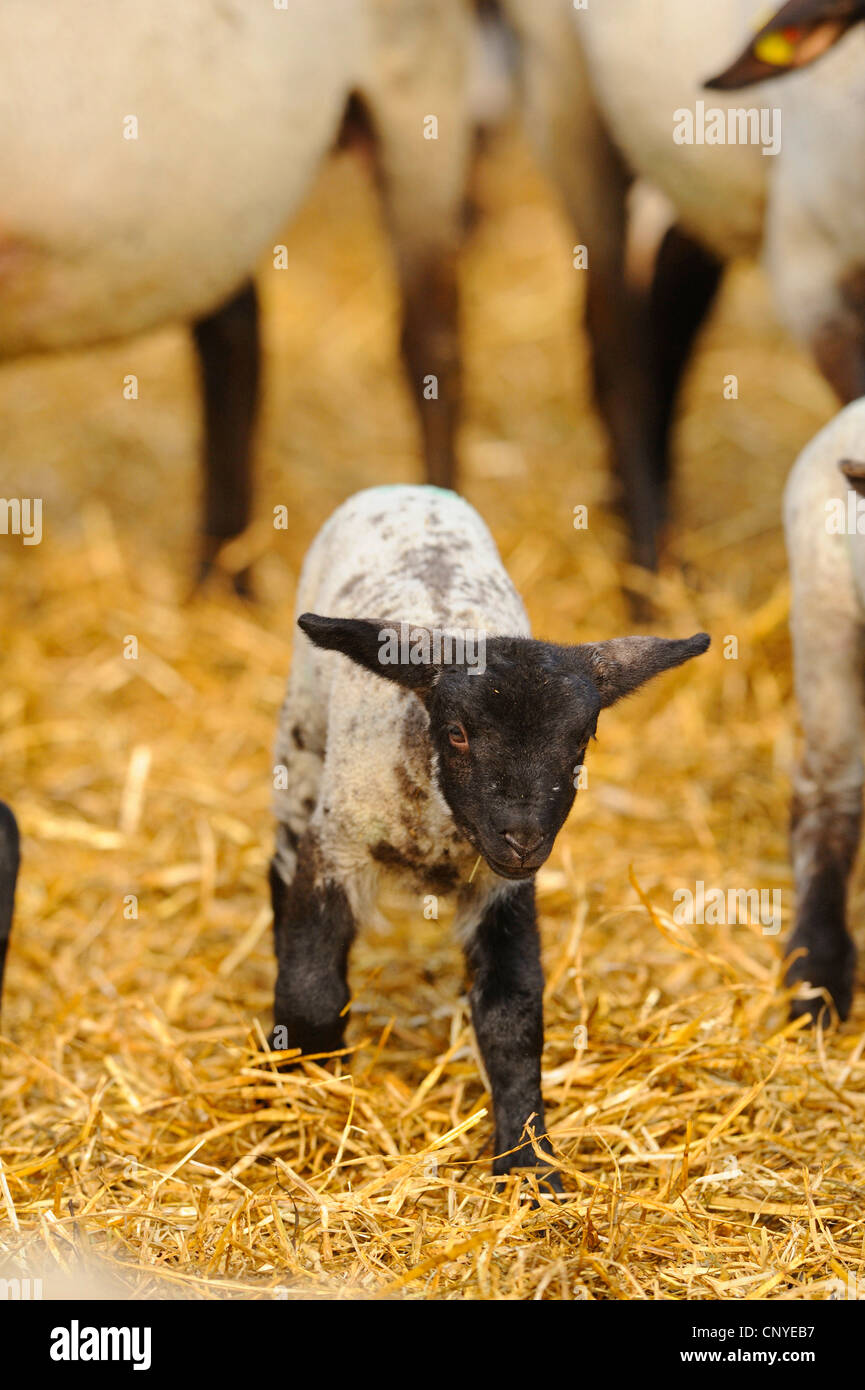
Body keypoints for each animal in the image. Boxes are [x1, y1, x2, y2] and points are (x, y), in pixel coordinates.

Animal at [269, 484, 710, 1183]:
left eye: (581, 739)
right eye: (456, 732)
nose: (524, 839)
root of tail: (404, 489)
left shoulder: (504, 892)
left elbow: (512, 1014)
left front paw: (530, 1165)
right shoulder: (335, 849)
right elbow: (311, 987)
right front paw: (306, 1096)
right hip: (301, 742)